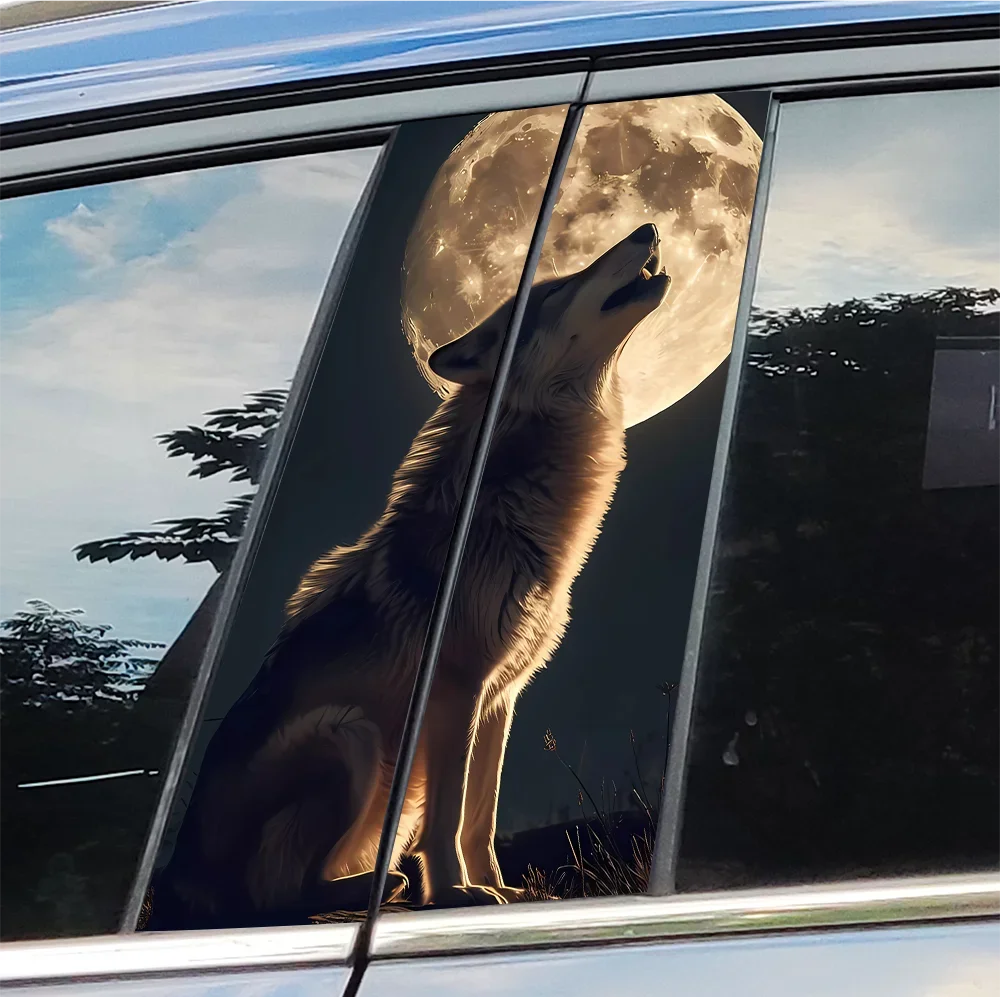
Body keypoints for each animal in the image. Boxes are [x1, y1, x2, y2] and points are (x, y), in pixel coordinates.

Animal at [147, 223, 670, 929]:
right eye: (557, 287)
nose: (647, 228)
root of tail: (178, 881)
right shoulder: (455, 688)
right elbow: (446, 815)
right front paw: (451, 892)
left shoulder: (501, 696)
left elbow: (480, 816)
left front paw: (498, 891)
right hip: (347, 733)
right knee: (276, 897)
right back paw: (376, 888)